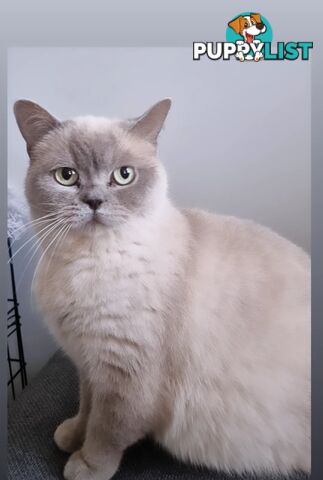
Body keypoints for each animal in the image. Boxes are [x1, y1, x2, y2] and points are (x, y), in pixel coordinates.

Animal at [13, 98, 312, 480]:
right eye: (66, 176)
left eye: (123, 175)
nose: (94, 201)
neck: (86, 263)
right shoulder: (89, 363)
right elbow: (86, 407)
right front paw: (71, 436)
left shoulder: (124, 376)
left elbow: (106, 430)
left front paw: (84, 466)